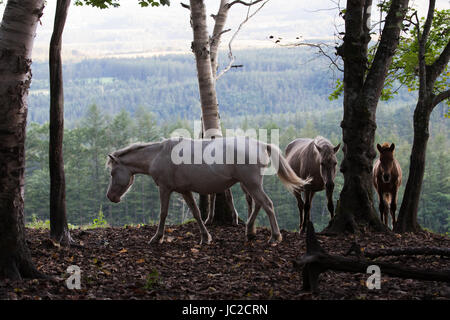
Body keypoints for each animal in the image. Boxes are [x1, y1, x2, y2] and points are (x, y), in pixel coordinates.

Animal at [105, 136, 310, 244]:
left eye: (112, 172)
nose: (110, 196)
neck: (159, 155)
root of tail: (260, 144)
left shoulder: (165, 189)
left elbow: (163, 214)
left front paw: (157, 237)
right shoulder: (185, 191)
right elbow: (196, 213)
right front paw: (205, 237)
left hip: (251, 184)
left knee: (267, 204)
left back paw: (275, 237)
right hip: (249, 184)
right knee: (259, 204)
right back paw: (250, 231)